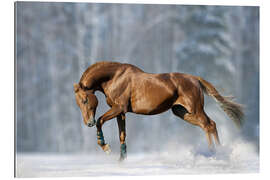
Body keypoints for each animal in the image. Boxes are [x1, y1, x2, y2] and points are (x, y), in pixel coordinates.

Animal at [73, 61, 244, 161]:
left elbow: (101, 120)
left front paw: (105, 147)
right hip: (181, 112)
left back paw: (216, 153)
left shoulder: (119, 108)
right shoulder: (121, 113)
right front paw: (122, 160)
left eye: (85, 100)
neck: (114, 77)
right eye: (78, 103)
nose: (88, 122)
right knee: (209, 125)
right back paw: (218, 152)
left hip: (195, 109)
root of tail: (195, 79)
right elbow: (122, 135)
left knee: (209, 125)